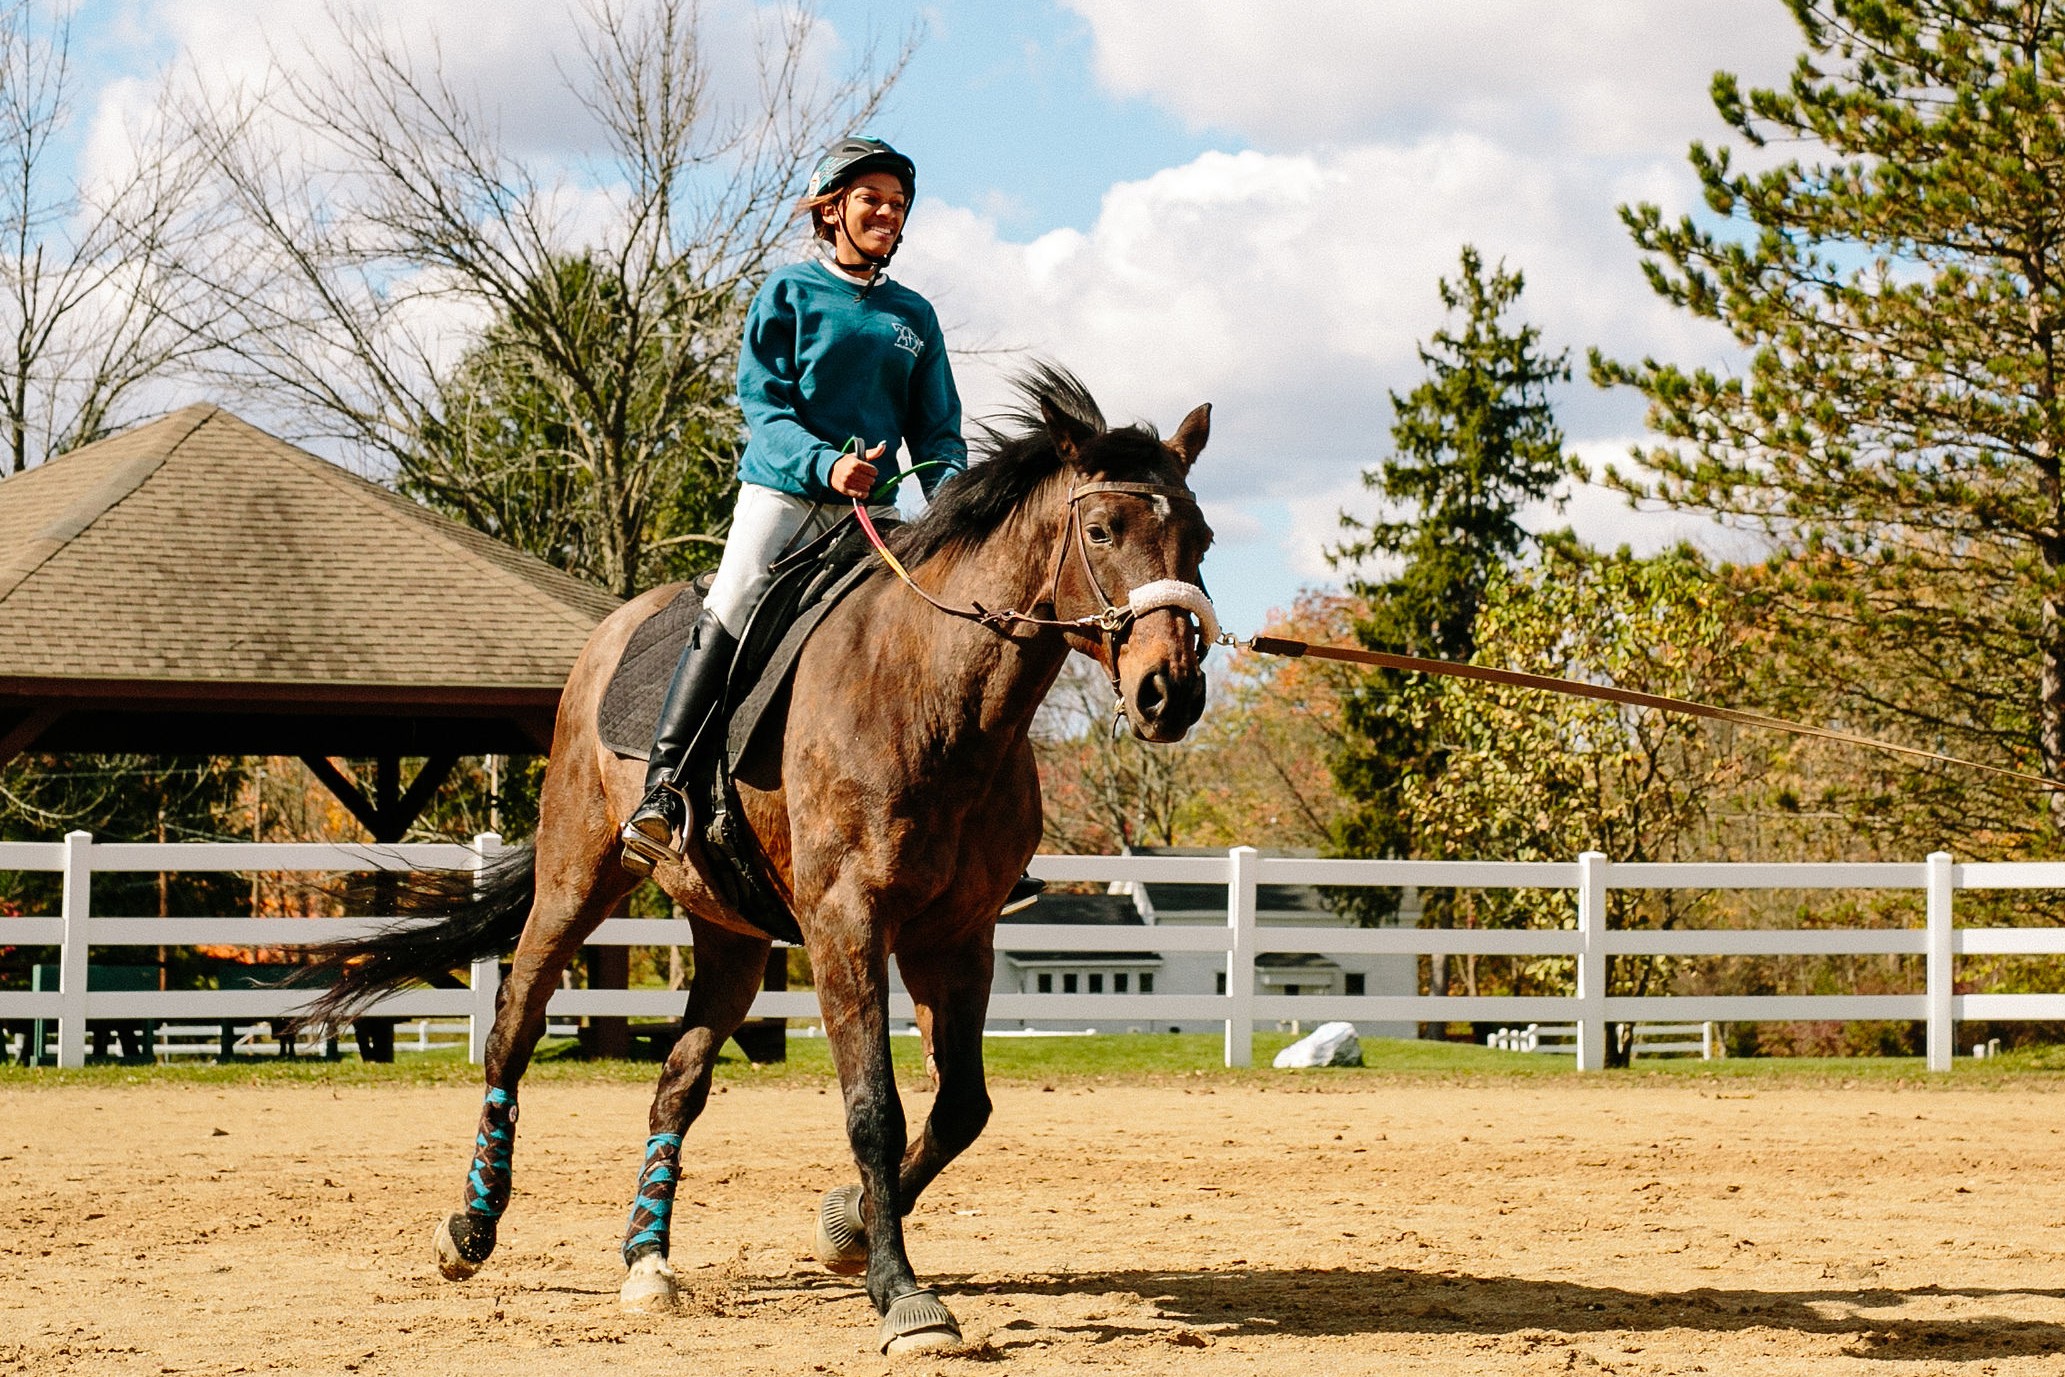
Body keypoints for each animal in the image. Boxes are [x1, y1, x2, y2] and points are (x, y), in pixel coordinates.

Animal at [301, 369, 1205, 1354]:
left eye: (1197, 537)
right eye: (1102, 529)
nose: (1170, 691)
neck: (932, 693)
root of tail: (613, 630)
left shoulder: (956, 938)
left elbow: (960, 1106)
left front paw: (847, 1227)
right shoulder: (848, 923)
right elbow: (874, 1107)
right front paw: (901, 1292)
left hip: (730, 931)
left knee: (678, 1081)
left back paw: (647, 1260)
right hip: (578, 877)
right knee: (514, 1028)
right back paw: (471, 1225)